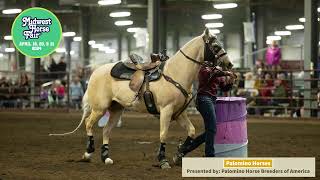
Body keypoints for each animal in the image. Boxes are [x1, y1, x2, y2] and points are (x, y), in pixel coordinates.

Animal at [51, 27, 234, 169]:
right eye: (215, 45)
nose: (230, 64)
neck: (175, 74)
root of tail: (95, 73)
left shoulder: (179, 113)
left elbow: (191, 131)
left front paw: (180, 152)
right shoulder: (166, 111)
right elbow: (163, 134)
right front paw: (163, 160)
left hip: (116, 110)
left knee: (106, 130)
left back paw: (106, 157)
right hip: (99, 108)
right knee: (89, 124)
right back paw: (88, 153)